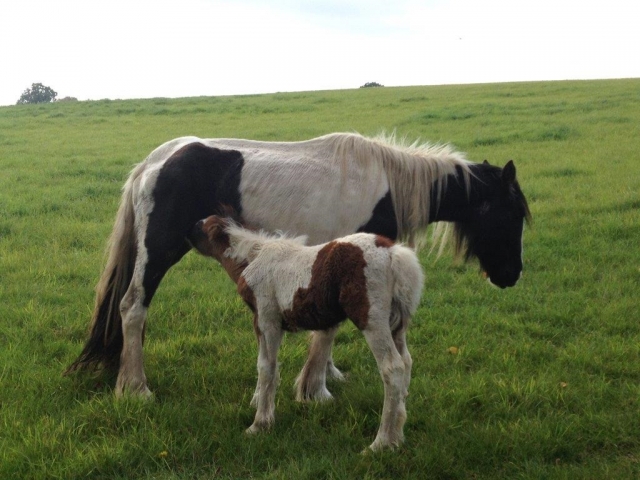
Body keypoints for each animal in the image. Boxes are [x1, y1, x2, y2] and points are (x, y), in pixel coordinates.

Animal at [64, 132, 531, 400]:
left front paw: (327, 376)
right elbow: (328, 330)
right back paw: (136, 389)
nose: (512, 276)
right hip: (159, 250)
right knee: (132, 307)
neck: (386, 184)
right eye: (511, 214)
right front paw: (314, 390)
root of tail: (155, 161)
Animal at [188, 214, 424, 451]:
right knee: (406, 362)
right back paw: (397, 436)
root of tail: (394, 254)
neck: (253, 258)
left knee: (392, 368)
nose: (186, 235)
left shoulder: (267, 320)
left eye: (200, 227)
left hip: (372, 320)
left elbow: (267, 368)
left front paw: (259, 424)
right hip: (396, 325)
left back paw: (380, 443)